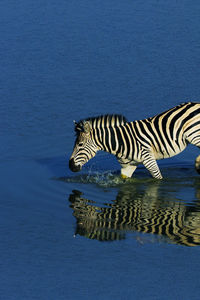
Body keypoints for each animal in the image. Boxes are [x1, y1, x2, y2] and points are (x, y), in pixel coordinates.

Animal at [69, 102, 200, 179]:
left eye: (80, 145)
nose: (70, 166)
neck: (120, 142)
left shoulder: (149, 160)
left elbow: (158, 181)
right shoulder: (127, 167)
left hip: (194, 135)